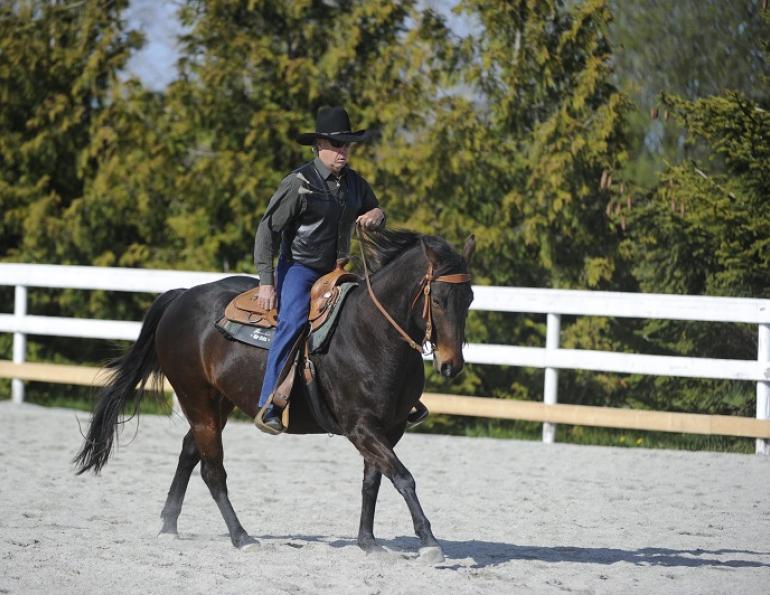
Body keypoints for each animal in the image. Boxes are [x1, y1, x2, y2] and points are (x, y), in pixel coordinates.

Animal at [73, 228, 475, 563]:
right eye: (439, 298)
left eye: (469, 298)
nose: (451, 365)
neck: (371, 333)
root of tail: (182, 296)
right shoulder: (360, 428)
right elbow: (403, 477)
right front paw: (428, 541)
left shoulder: (388, 429)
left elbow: (374, 481)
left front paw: (368, 542)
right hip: (195, 398)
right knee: (212, 471)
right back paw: (241, 537)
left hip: (218, 402)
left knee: (189, 452)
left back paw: (169, 525)